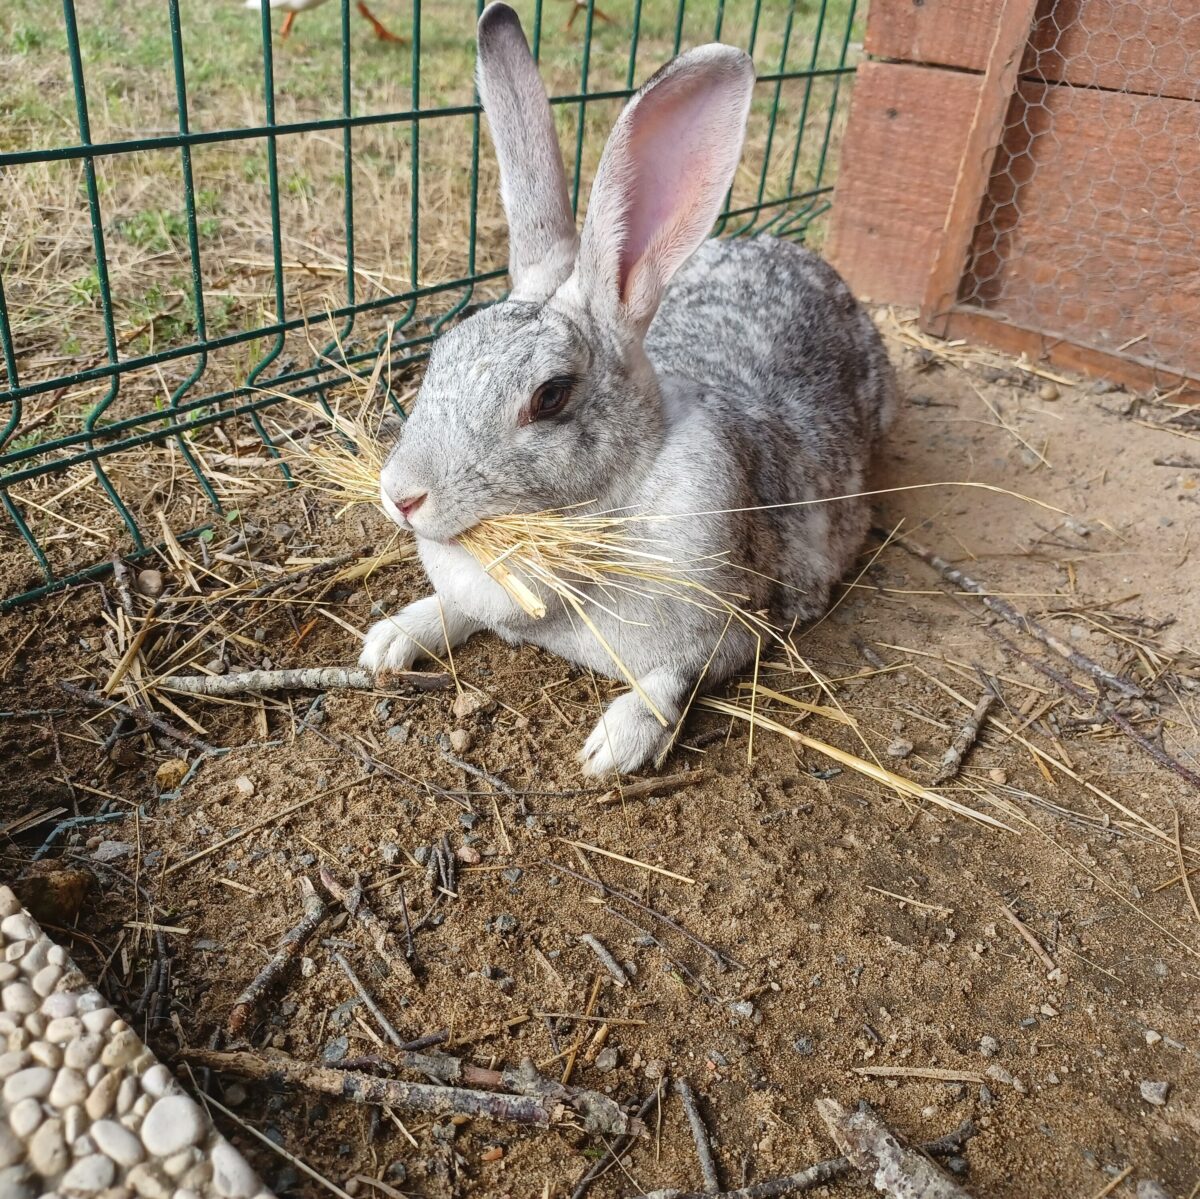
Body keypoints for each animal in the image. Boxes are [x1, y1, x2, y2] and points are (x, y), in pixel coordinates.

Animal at [359, 2, 897, 776]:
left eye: (551, 395)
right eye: (441, 353)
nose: (401, 496)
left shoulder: (733, 627)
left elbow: (673, 679)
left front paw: (614, 747)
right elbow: (453, 609)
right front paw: (390, 639)